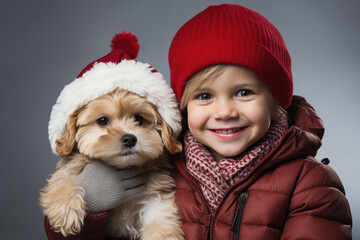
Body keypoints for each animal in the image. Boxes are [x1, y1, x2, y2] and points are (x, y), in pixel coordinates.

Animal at [40, 87, 184, 238]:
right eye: (103, 121)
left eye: (139, 119)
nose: (130, 139)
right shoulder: (70, 166)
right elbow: (62, 180)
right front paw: (65, 210)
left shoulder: (156, 195)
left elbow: (160, 222)